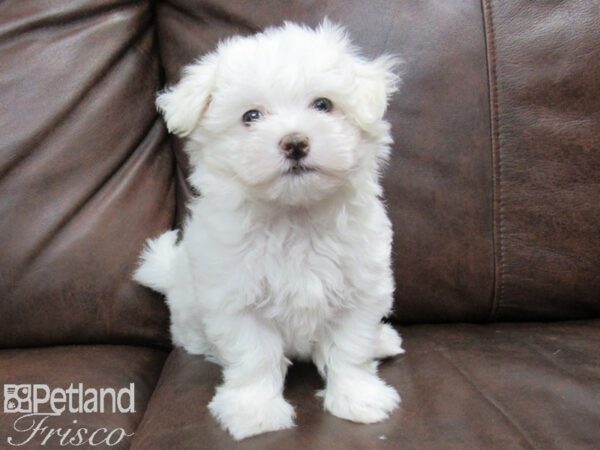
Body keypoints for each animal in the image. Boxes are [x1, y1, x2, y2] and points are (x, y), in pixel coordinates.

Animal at [134, 20, 406, 440]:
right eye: (251, 116)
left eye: (323, 105)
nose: (295, 142)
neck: (293, 216)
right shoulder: (236, 299)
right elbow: (255, 357)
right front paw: (255, 411)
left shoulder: (360, 289)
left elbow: (351, 348)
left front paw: (358, 399)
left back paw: (383, 340)